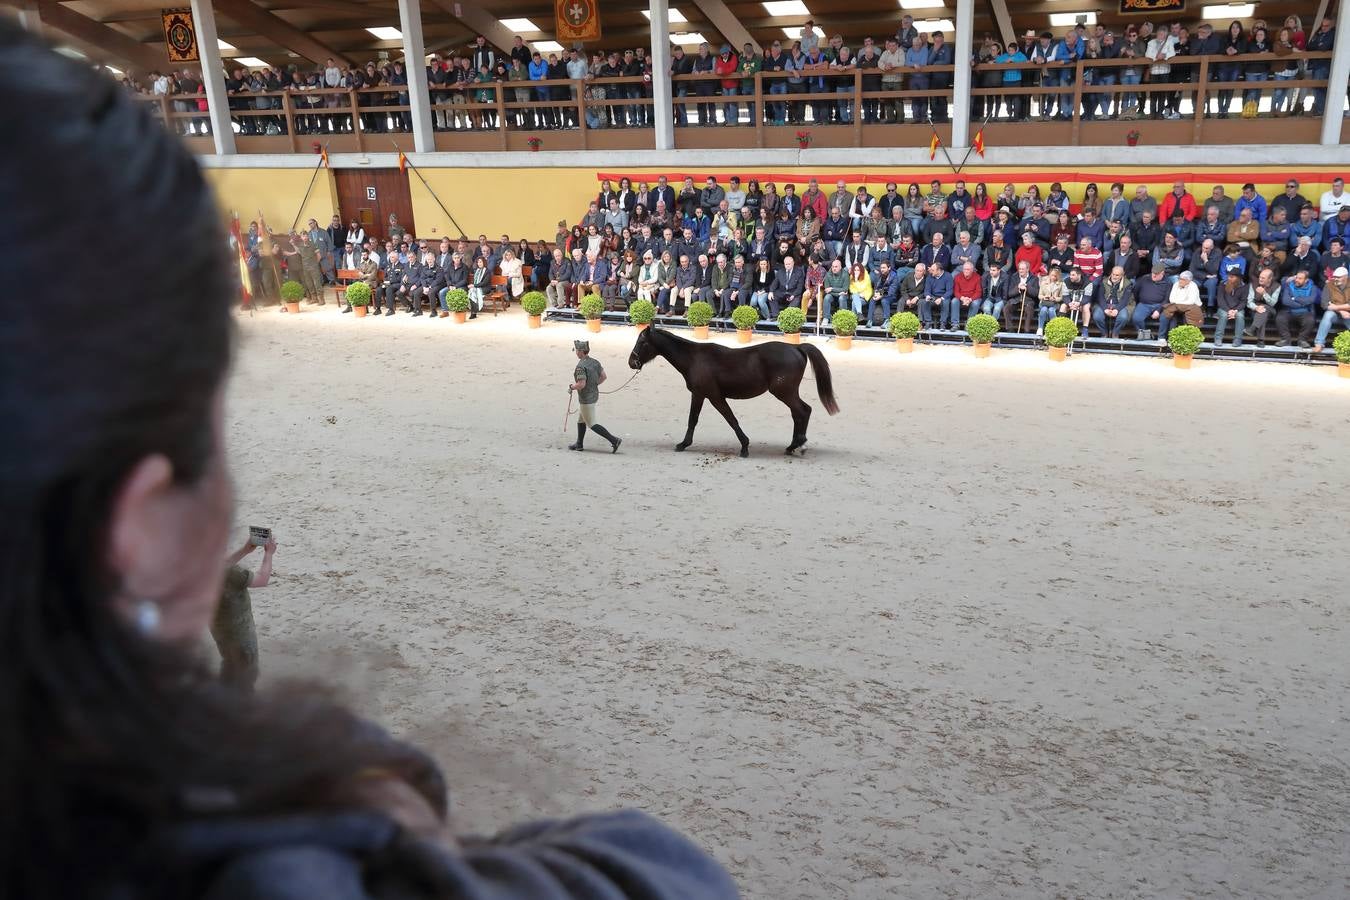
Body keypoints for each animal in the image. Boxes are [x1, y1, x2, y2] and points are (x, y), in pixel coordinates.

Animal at [626, 327, 837, 458]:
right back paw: (794, 445)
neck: (694, 358)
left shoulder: (714, 396)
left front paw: (744, 446)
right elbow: (693, 419)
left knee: (803, 411)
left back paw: (798, 444)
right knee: (799, 413)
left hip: (784, 392)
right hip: (788, 393)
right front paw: (684, 444)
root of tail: (796, 347)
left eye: (642, 342)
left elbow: (730, 419)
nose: (632, 362)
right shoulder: (699, 395)